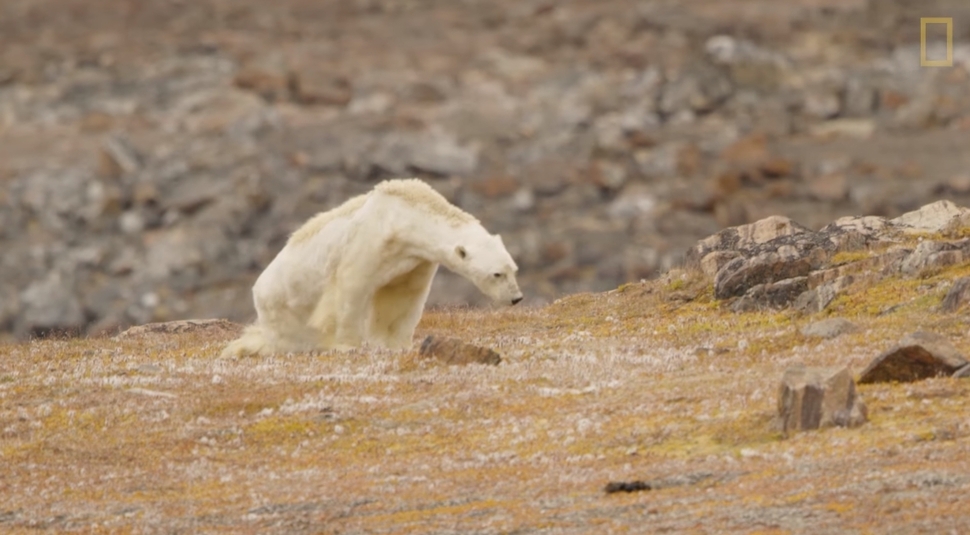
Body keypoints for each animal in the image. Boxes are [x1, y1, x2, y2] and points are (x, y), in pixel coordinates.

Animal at [221, 178, 520, 358]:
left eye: (514, 268)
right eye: (497, 274)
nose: (516, 298)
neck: (406, 217)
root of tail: (257, 288)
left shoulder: (415, 259)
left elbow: (402, 294)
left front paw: (395, 343)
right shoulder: (371, 241)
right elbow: (352, 287)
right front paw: (348, 345)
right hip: (284, 311)